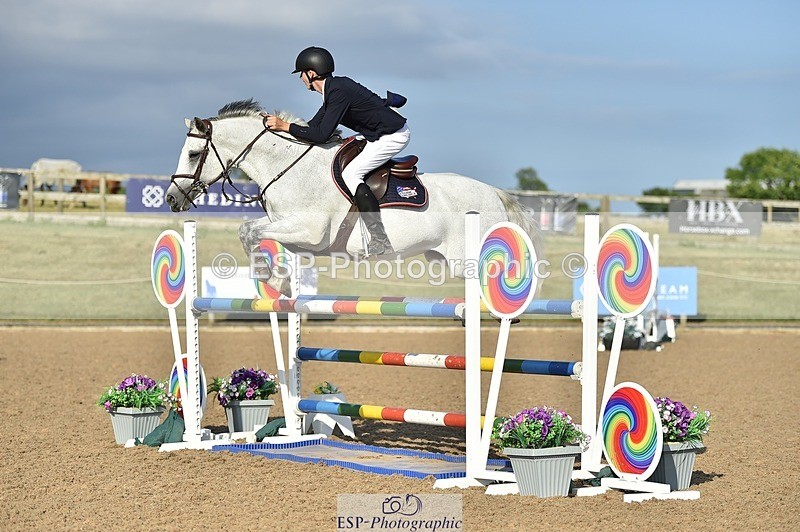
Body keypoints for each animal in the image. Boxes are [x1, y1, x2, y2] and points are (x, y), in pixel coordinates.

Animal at [166, 99, 542, 295]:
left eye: (194, 154)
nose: (171, 199)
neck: (288, 164)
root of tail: (495, 193)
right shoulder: (287, 226)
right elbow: (250, 231)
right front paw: (279, 280)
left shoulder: (311, 231)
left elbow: (249, 231)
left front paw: (273, 280)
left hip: (469, 260)